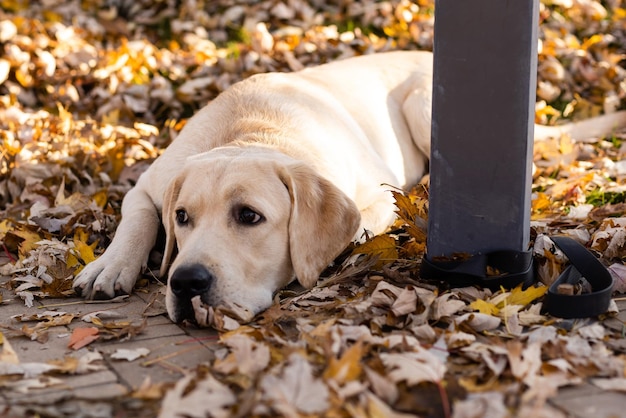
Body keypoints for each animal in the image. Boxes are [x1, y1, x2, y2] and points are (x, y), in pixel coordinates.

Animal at [74, 49, 626, 324]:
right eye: (183, 218)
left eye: (249, 216)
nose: (185, 282)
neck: (252, 129)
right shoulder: (149, 185)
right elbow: (137, 217)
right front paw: (110, 265)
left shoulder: (376, 198)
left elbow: (357, 228)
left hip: (428, 103)